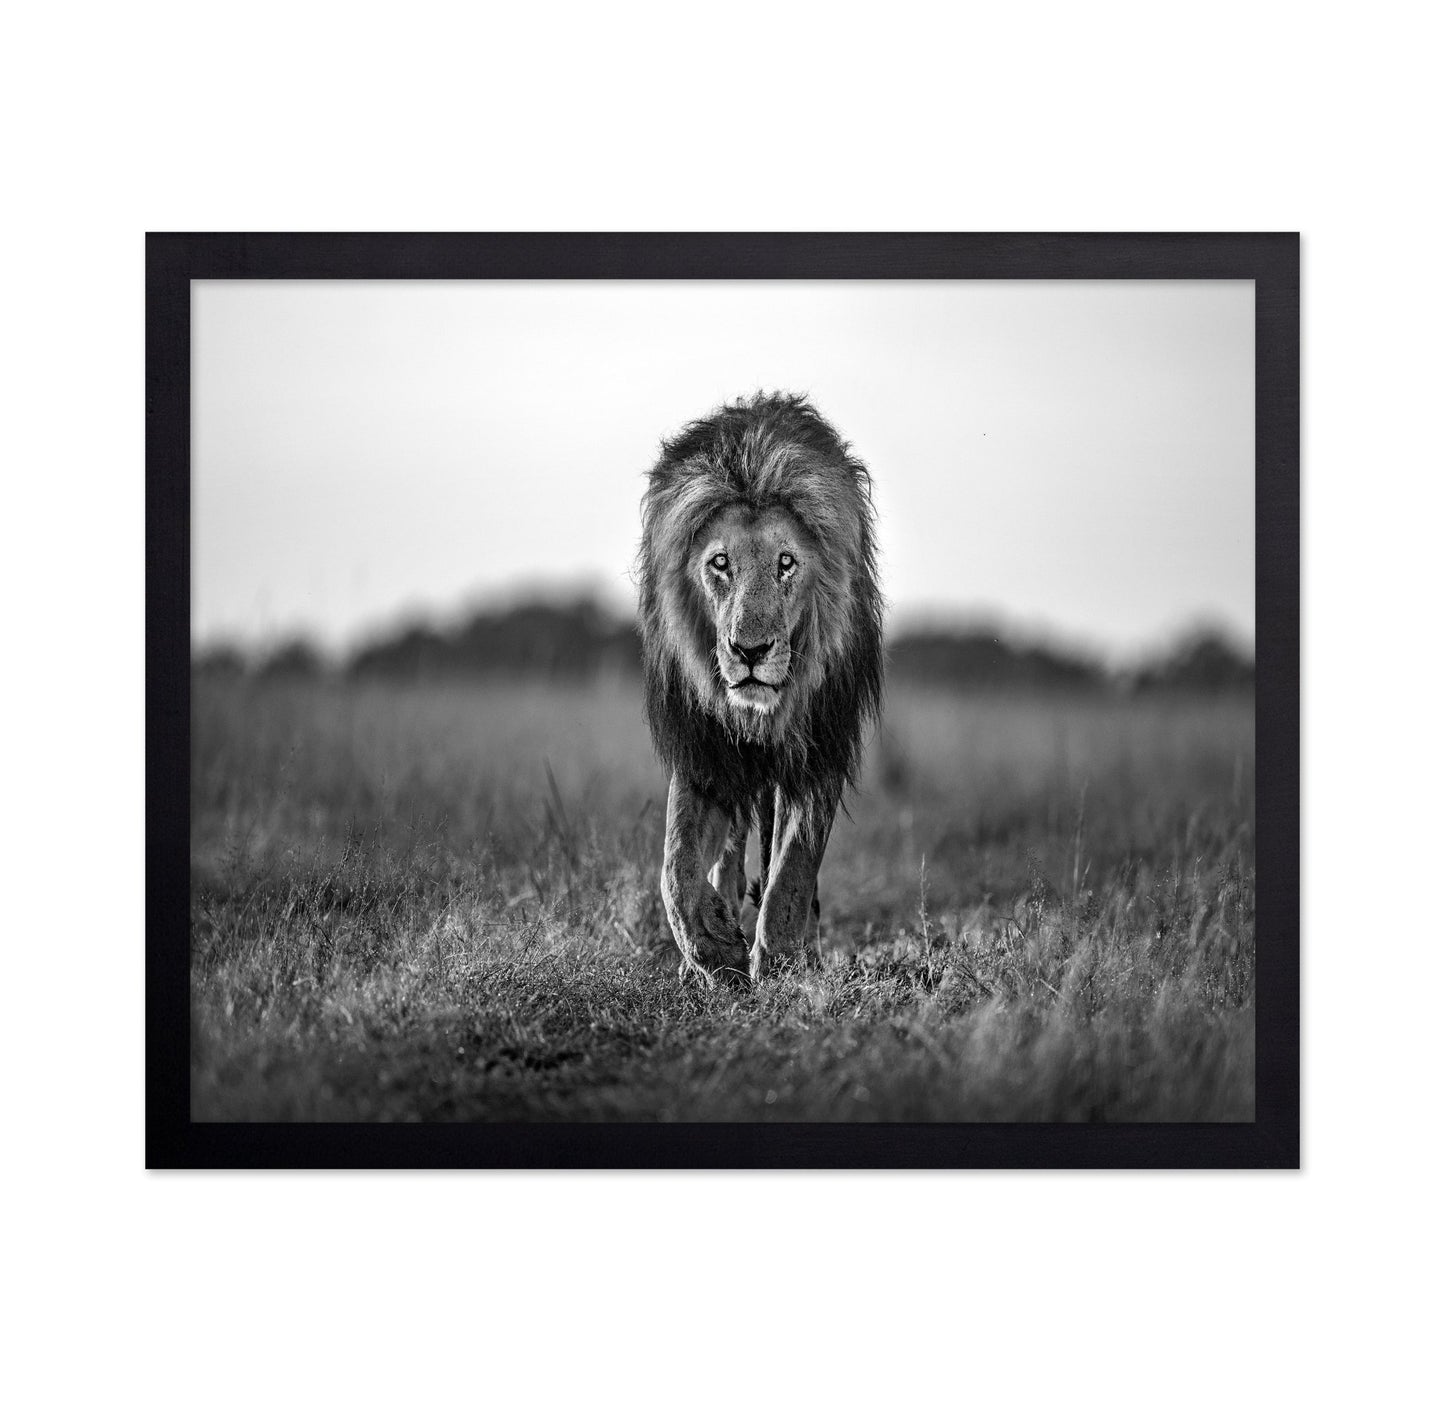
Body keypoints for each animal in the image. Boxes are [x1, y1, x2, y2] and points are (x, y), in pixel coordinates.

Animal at [637, 392, 884, 984]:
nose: (750, 652)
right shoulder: (703, 749)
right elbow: (675, 866)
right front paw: (712, 947)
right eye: (720, 563)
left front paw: (780, 960)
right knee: (727, 852)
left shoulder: (819, 747)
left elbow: (793, 868)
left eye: (786, 563)